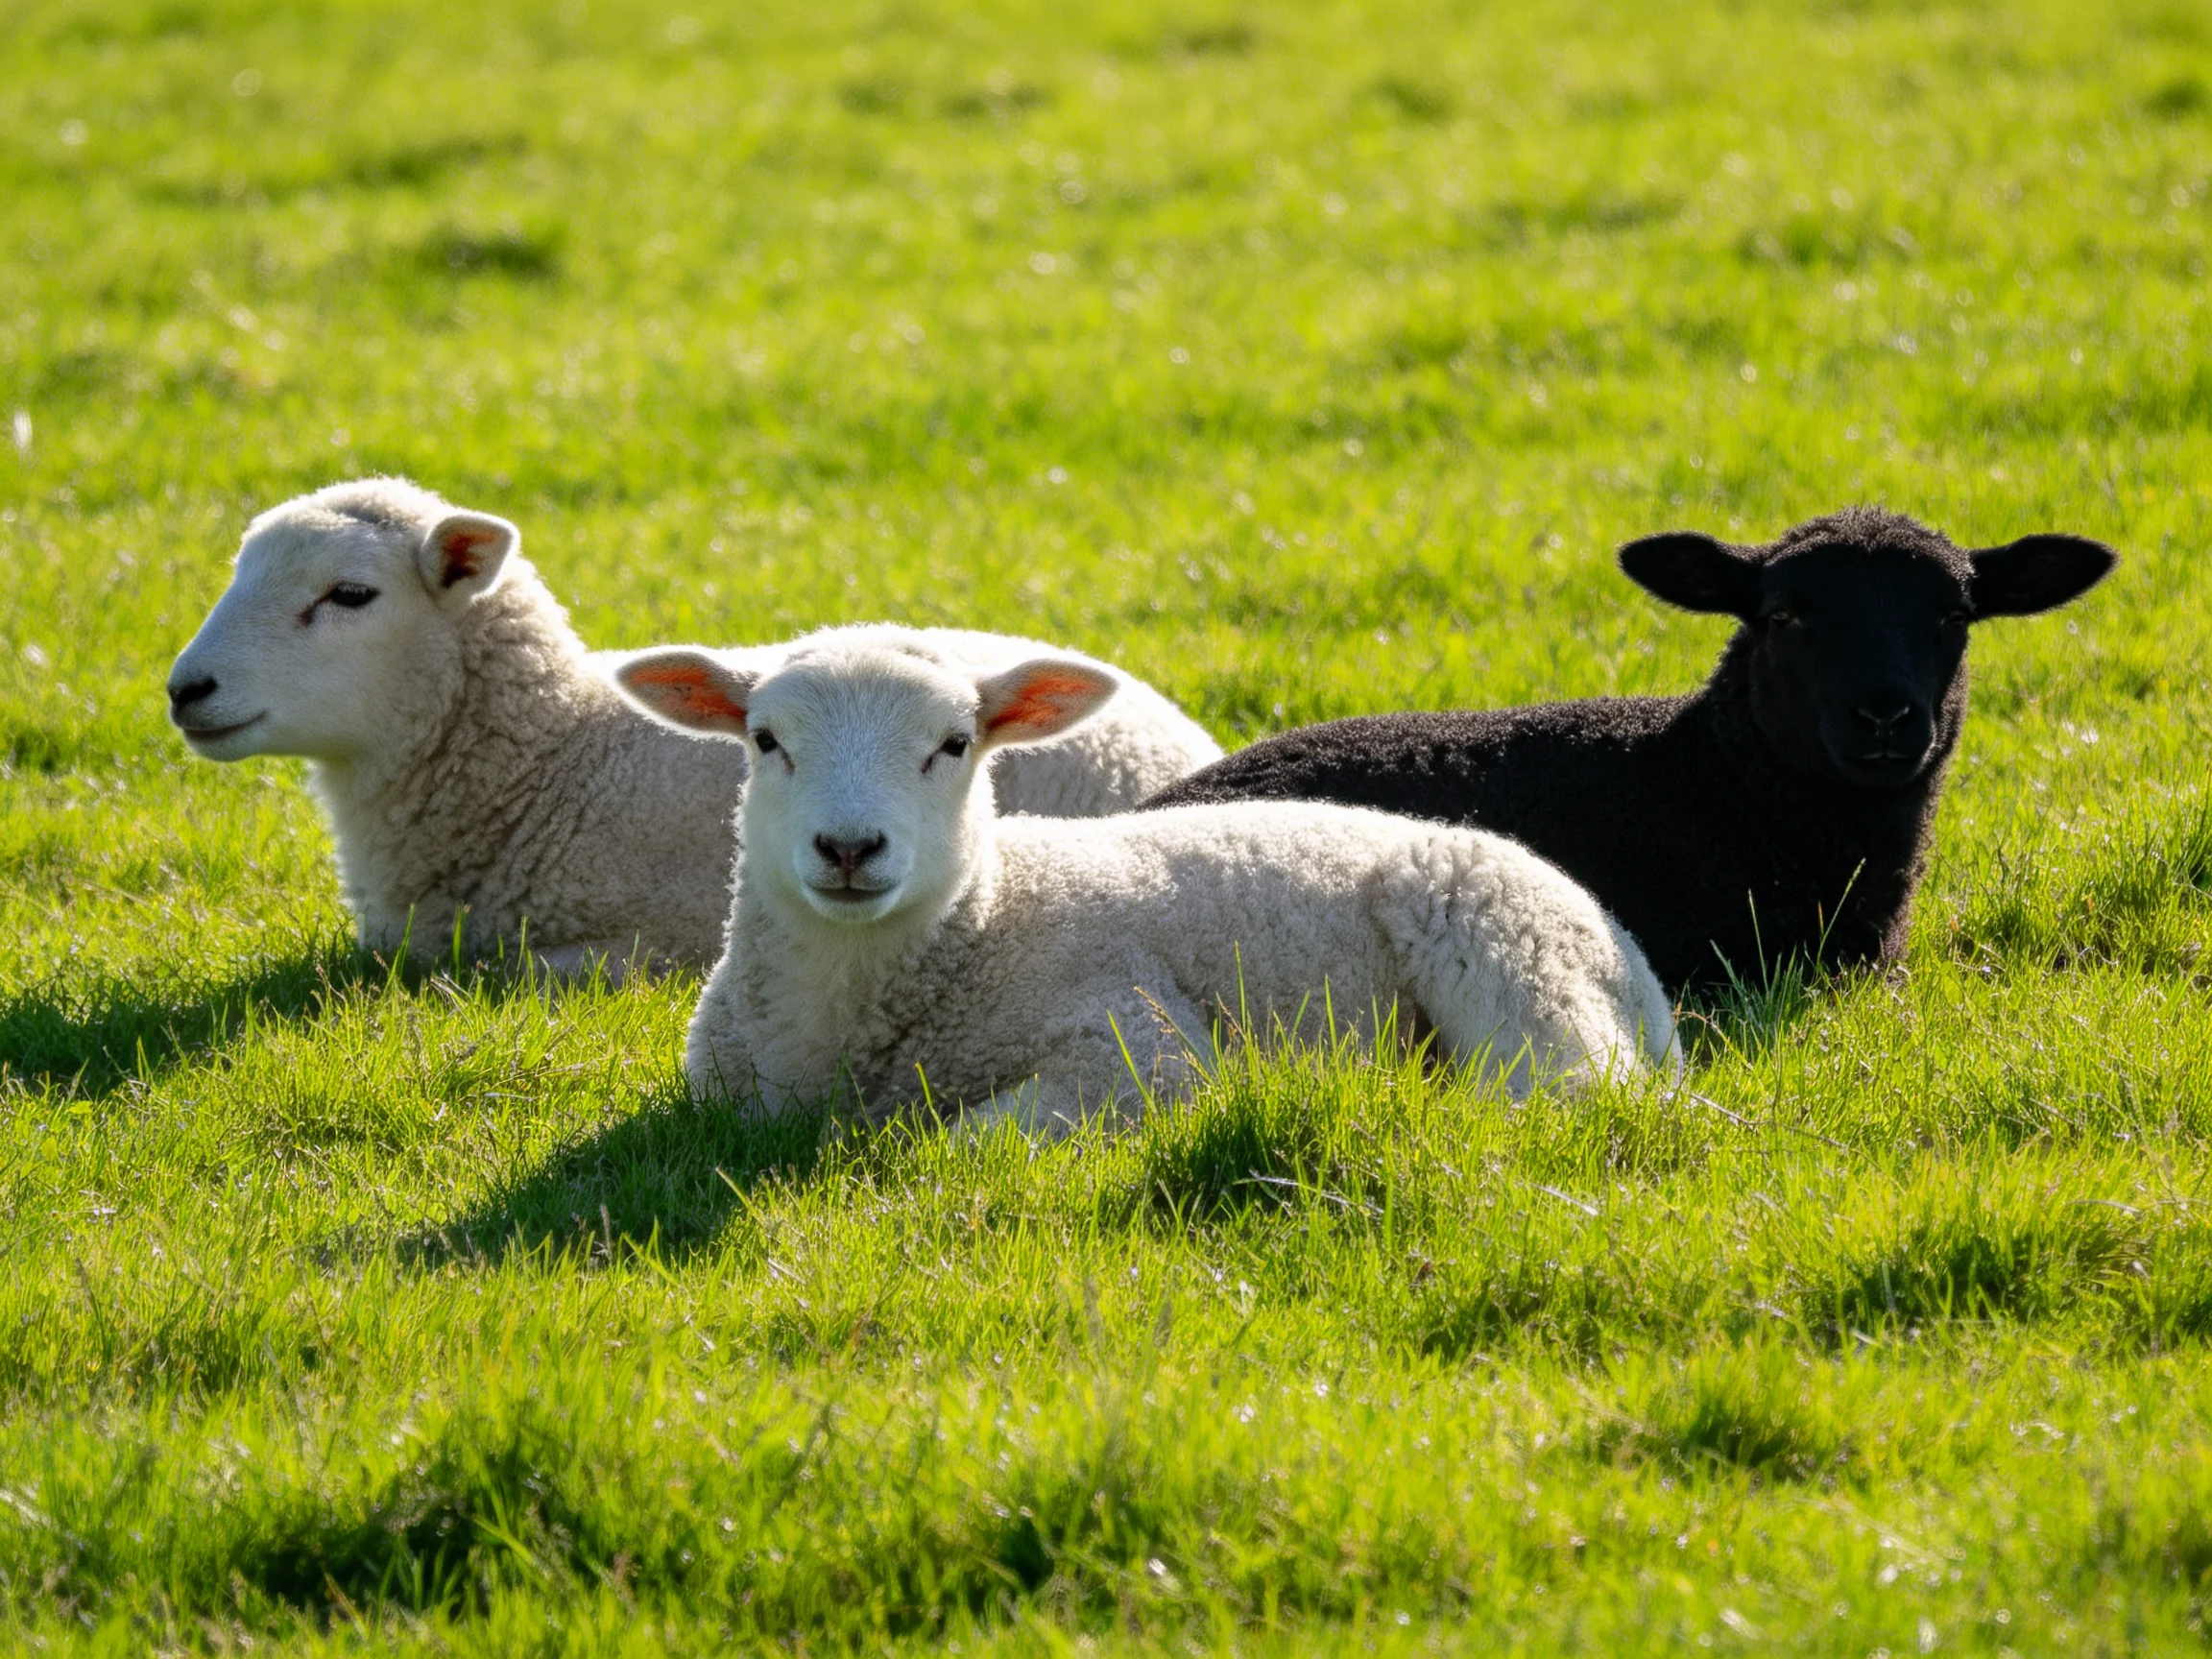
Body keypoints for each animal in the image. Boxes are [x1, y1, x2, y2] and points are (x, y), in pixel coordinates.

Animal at [613, 631, 1678, 1133]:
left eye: (954, 745)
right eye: (765, 741)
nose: (848, 847)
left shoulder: (1136, 1052)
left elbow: (960, 1141)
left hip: (1510, 955)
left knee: (1568, 1088)